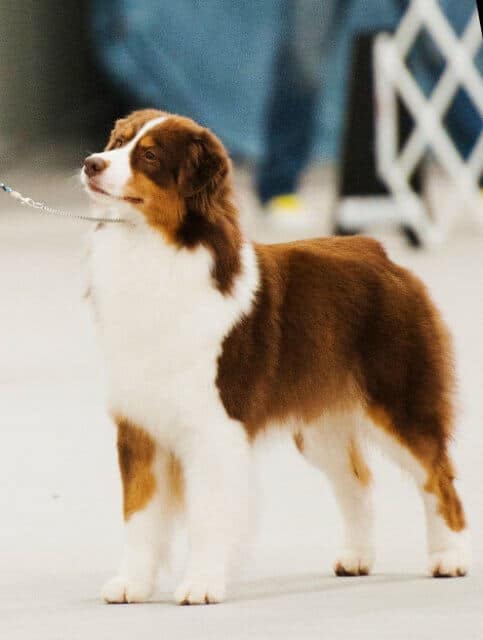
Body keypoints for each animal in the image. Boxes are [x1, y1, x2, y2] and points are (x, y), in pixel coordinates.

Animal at [82, 110, 468, 604]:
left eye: (148, 156)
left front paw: (201, 585)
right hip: (322, 422)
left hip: (400, 400)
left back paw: (448, 558)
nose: (91, 163)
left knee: (437, 476)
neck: (153, 248)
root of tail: (380, 254)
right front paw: (131, 583)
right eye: (117, 142)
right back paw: (356, 557)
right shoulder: (139, 424)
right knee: (357, 482)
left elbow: (207, 514)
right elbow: (139, 513)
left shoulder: (214, 427)